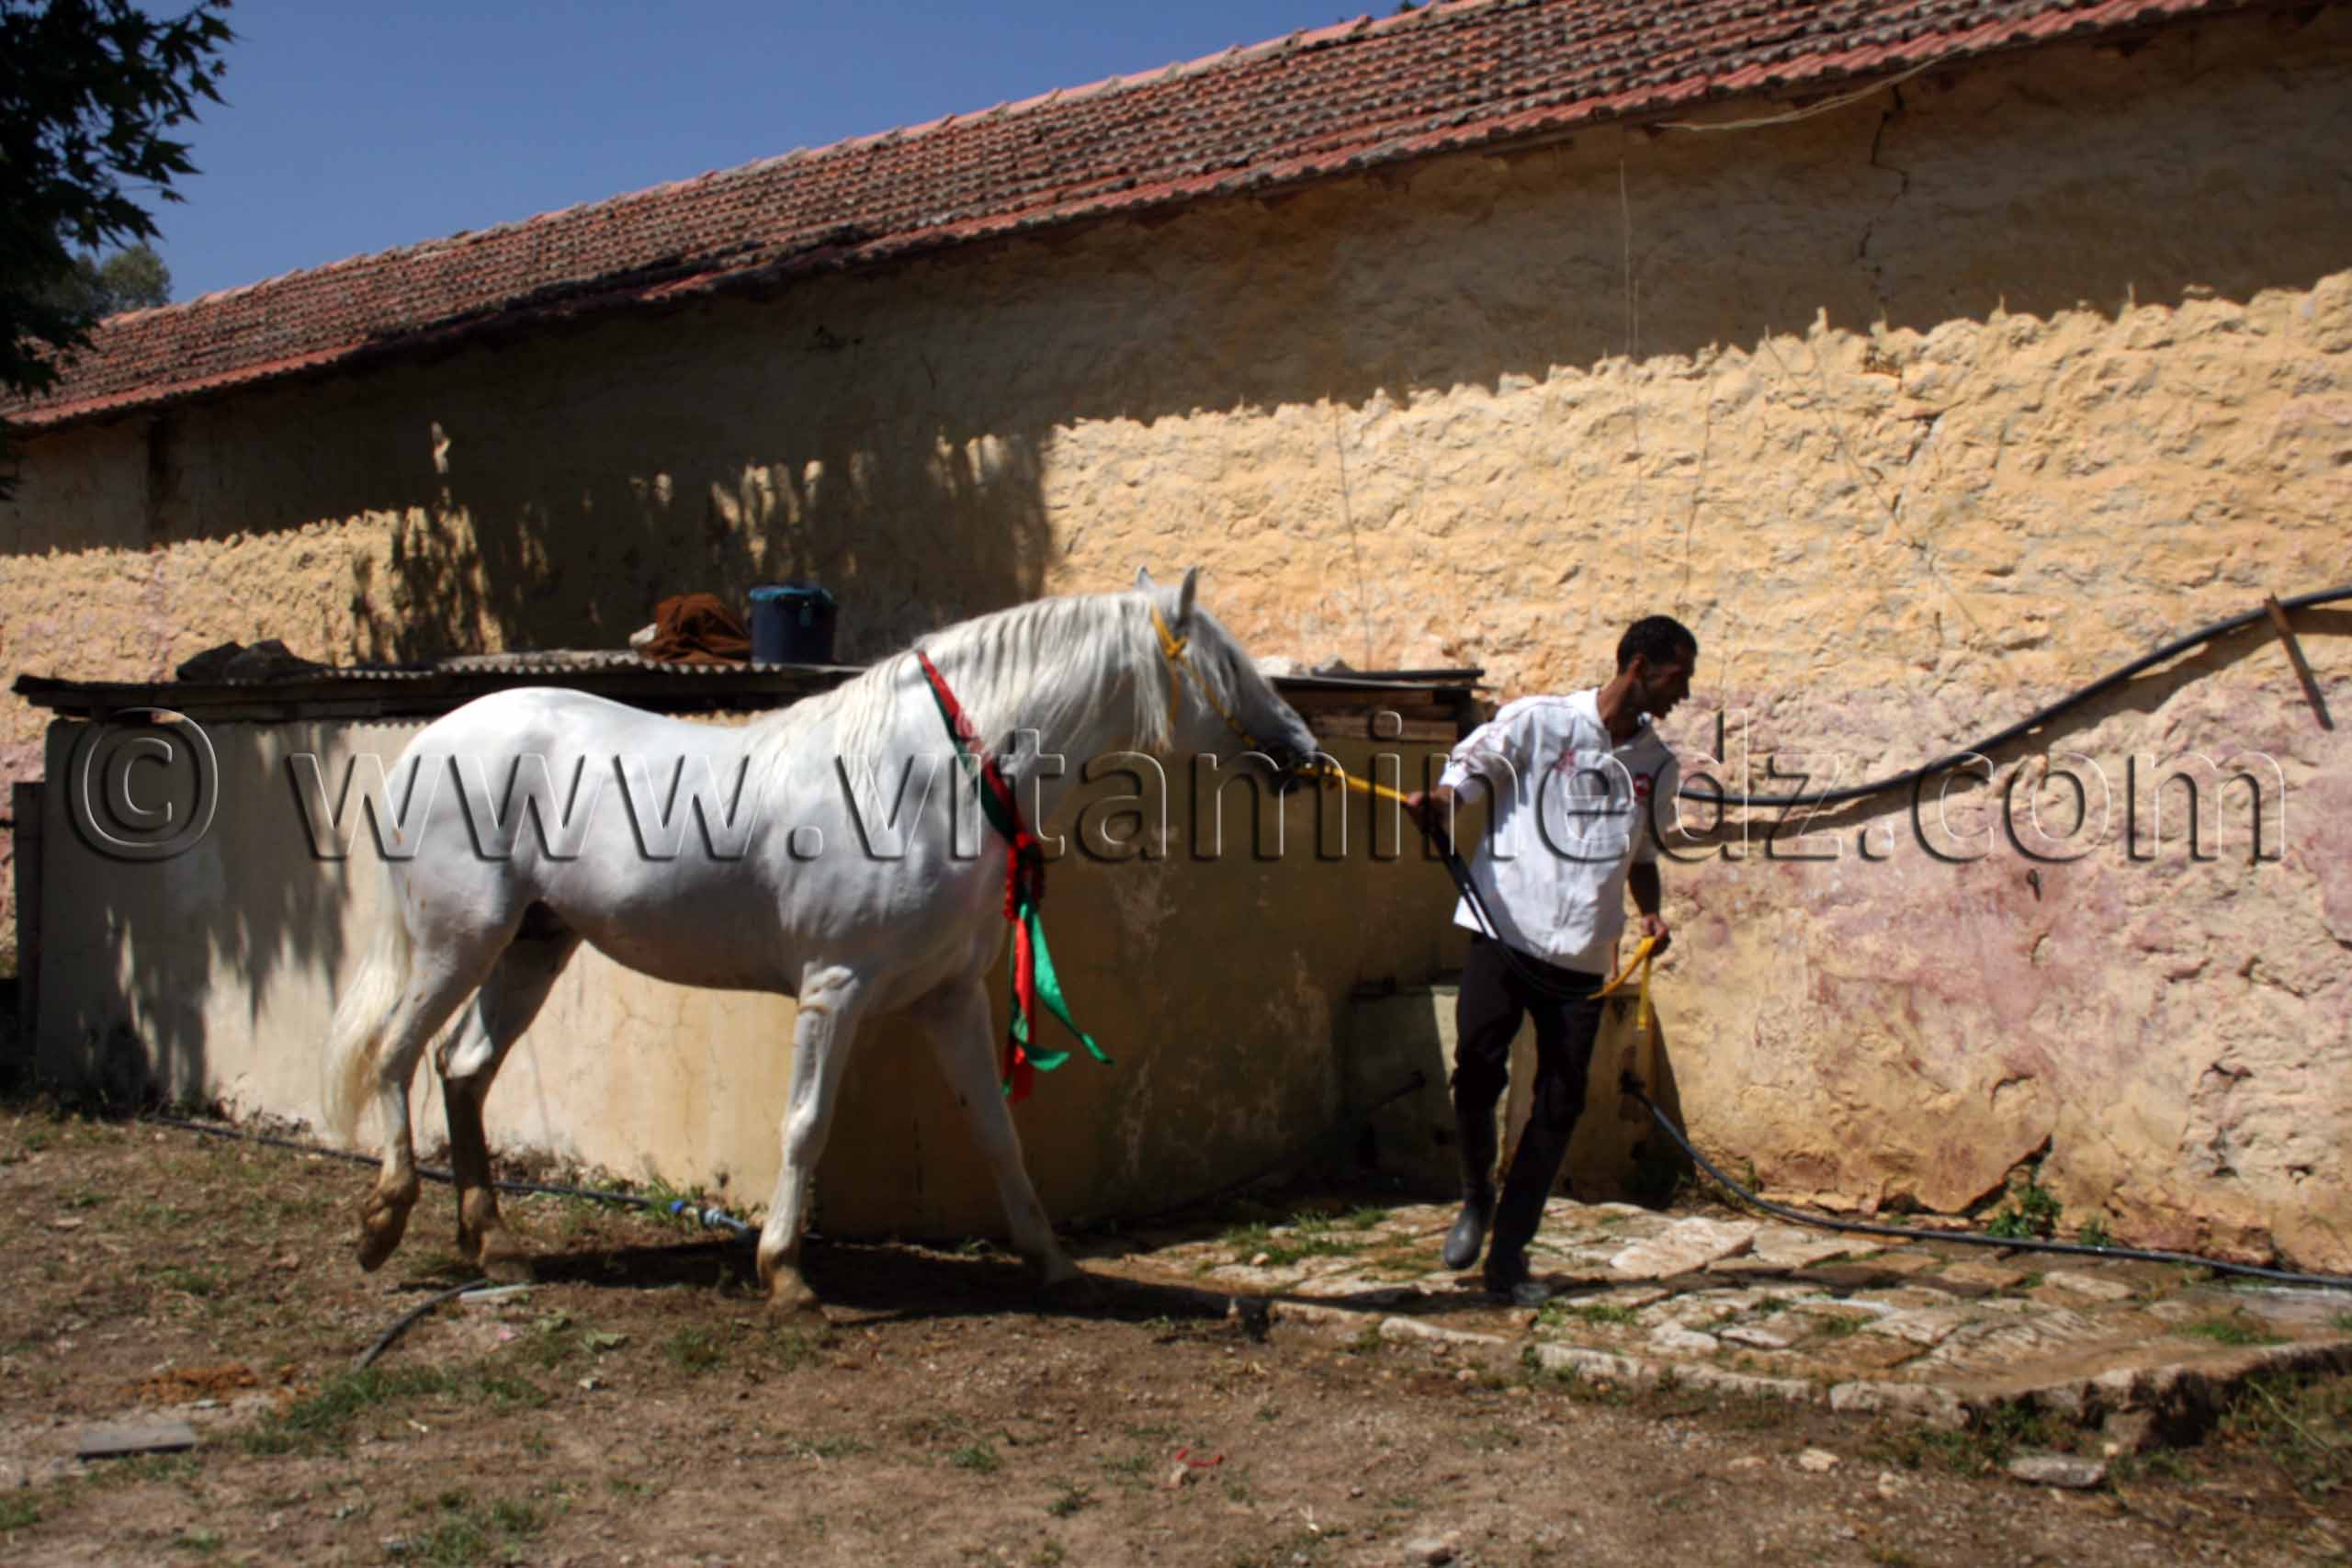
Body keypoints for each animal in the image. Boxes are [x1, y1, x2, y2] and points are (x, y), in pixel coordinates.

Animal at [322, 567, 1321, 1313]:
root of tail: (430, 744)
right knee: (397, 1054)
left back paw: (495, 1247)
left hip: (535, 945)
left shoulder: (945, 997)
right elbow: (804, 1124)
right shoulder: (834, 988)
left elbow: (997, 1131)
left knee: (462, 1070)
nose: (1305, 756)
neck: (925, 782)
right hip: (461, 939)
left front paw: (1052, 1264)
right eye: (1227, 662)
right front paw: (785, 1275)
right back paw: (382, 1223)